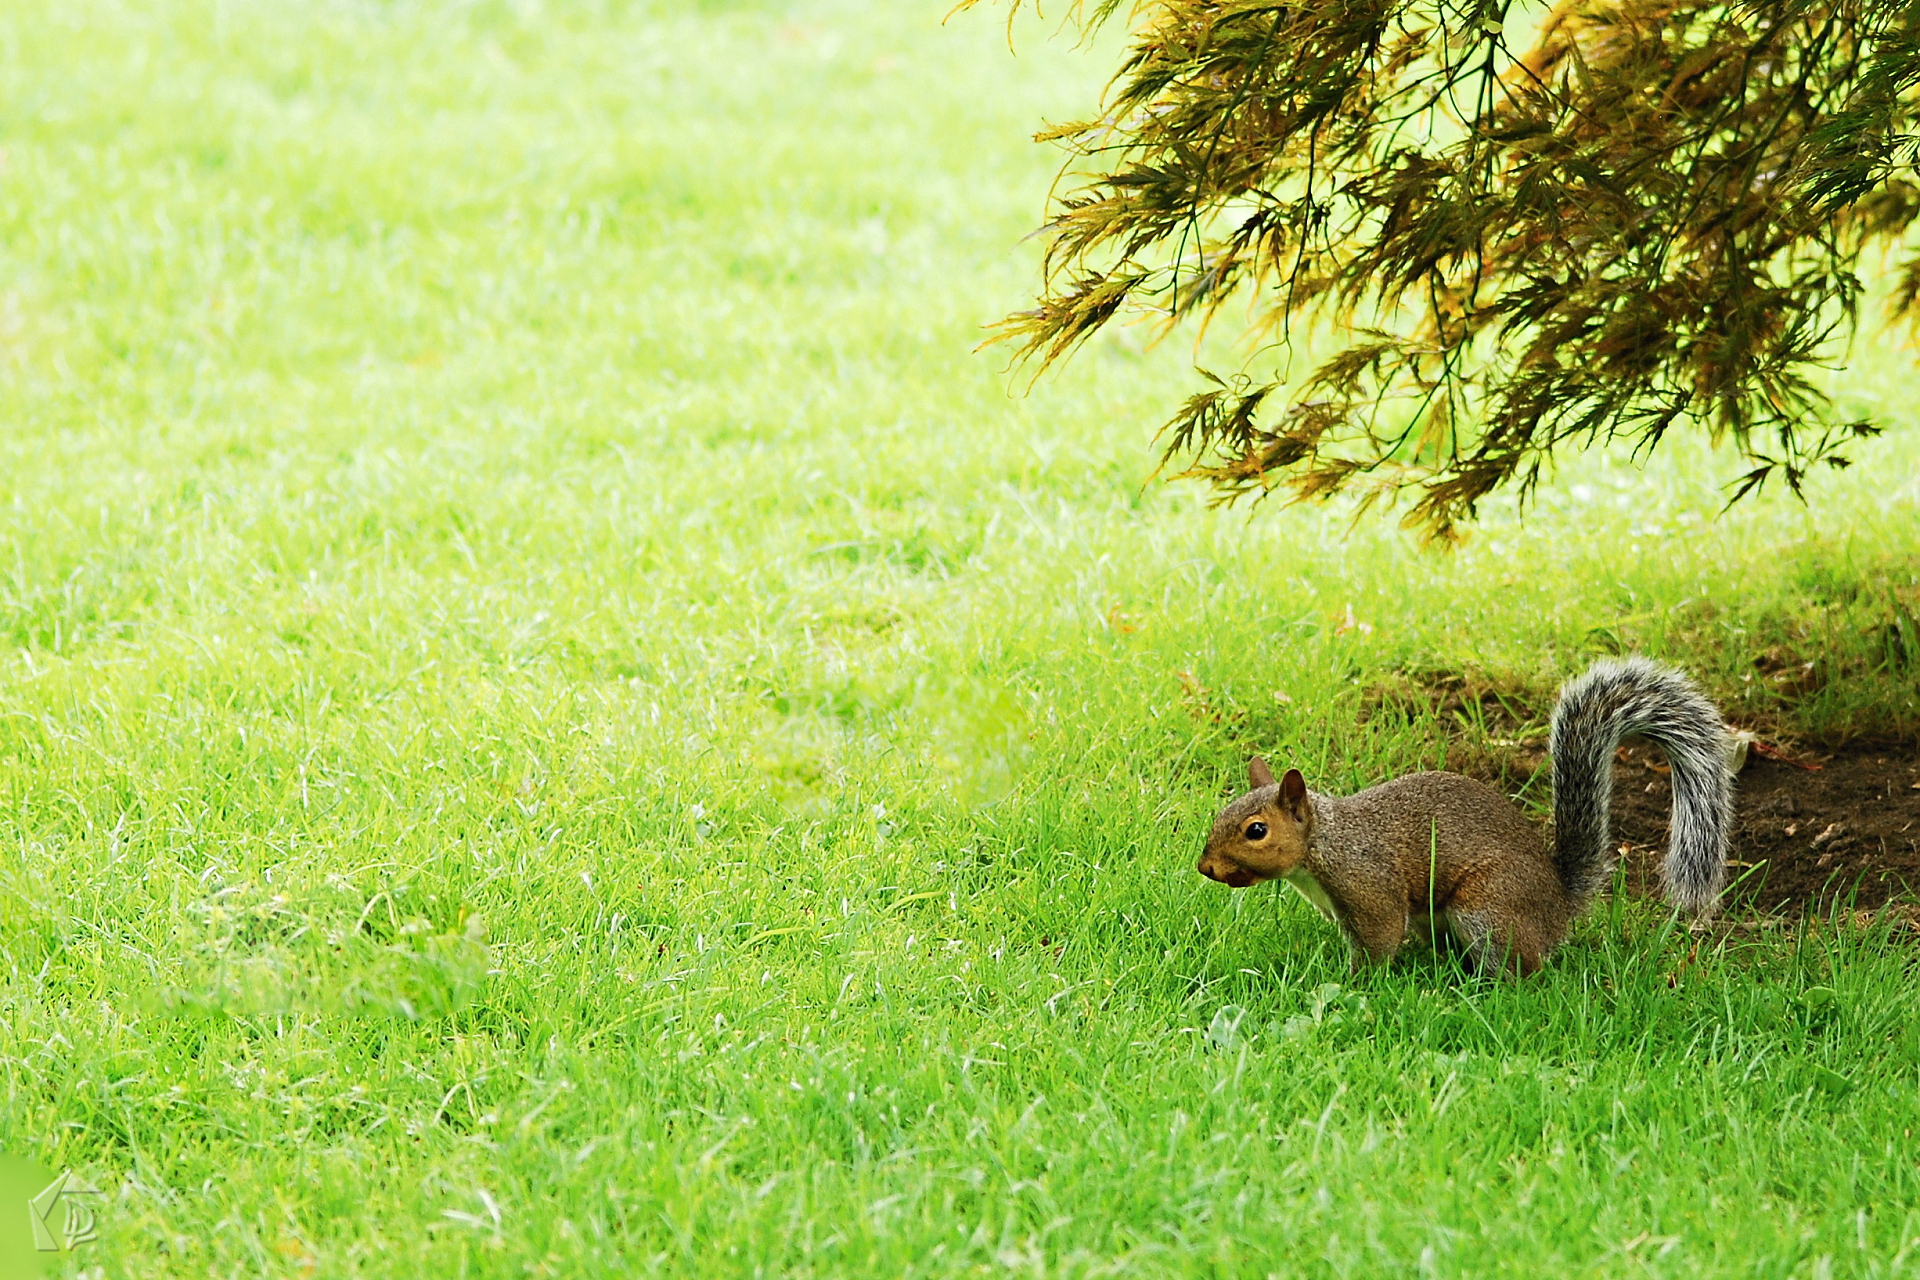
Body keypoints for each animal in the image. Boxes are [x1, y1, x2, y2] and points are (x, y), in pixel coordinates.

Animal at [1195, 657, 1735, 976]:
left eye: (1256, 831)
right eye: (1219, 816)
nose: (1205, 867)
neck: (1323, 844)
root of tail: (1559, 904)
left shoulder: (1369, 887)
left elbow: (1380, 939)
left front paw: (1353, 985)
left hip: (1485, 907)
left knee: (1524, 968)